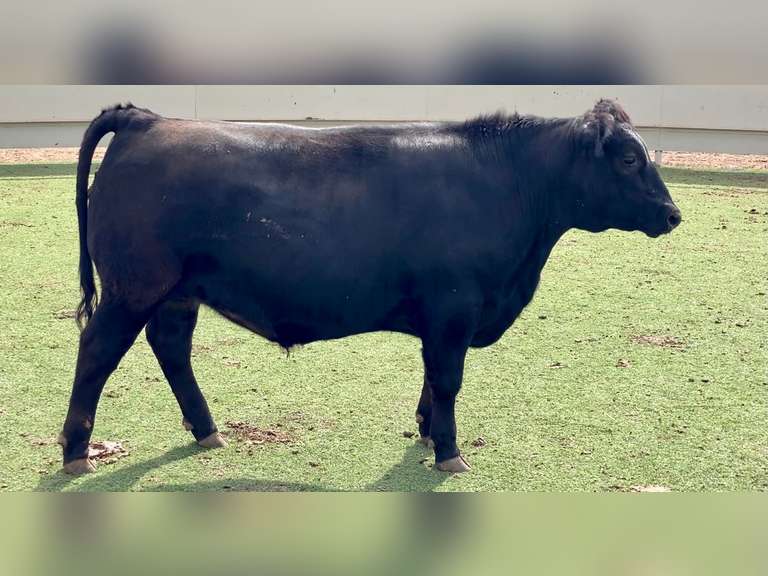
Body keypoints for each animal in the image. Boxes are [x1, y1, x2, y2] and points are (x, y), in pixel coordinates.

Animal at [58, 99, 681, 475]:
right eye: (629, 158)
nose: (672, 214)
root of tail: (146, 119)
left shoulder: (442, 318)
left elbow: (432, 378)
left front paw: (427, 434)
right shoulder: (454, 307)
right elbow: (448, 380)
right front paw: (450, 453)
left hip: (177, 291)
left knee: (171, 348)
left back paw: (207, 431)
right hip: (133, 287)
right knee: (95, 354)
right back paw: (76, 453)